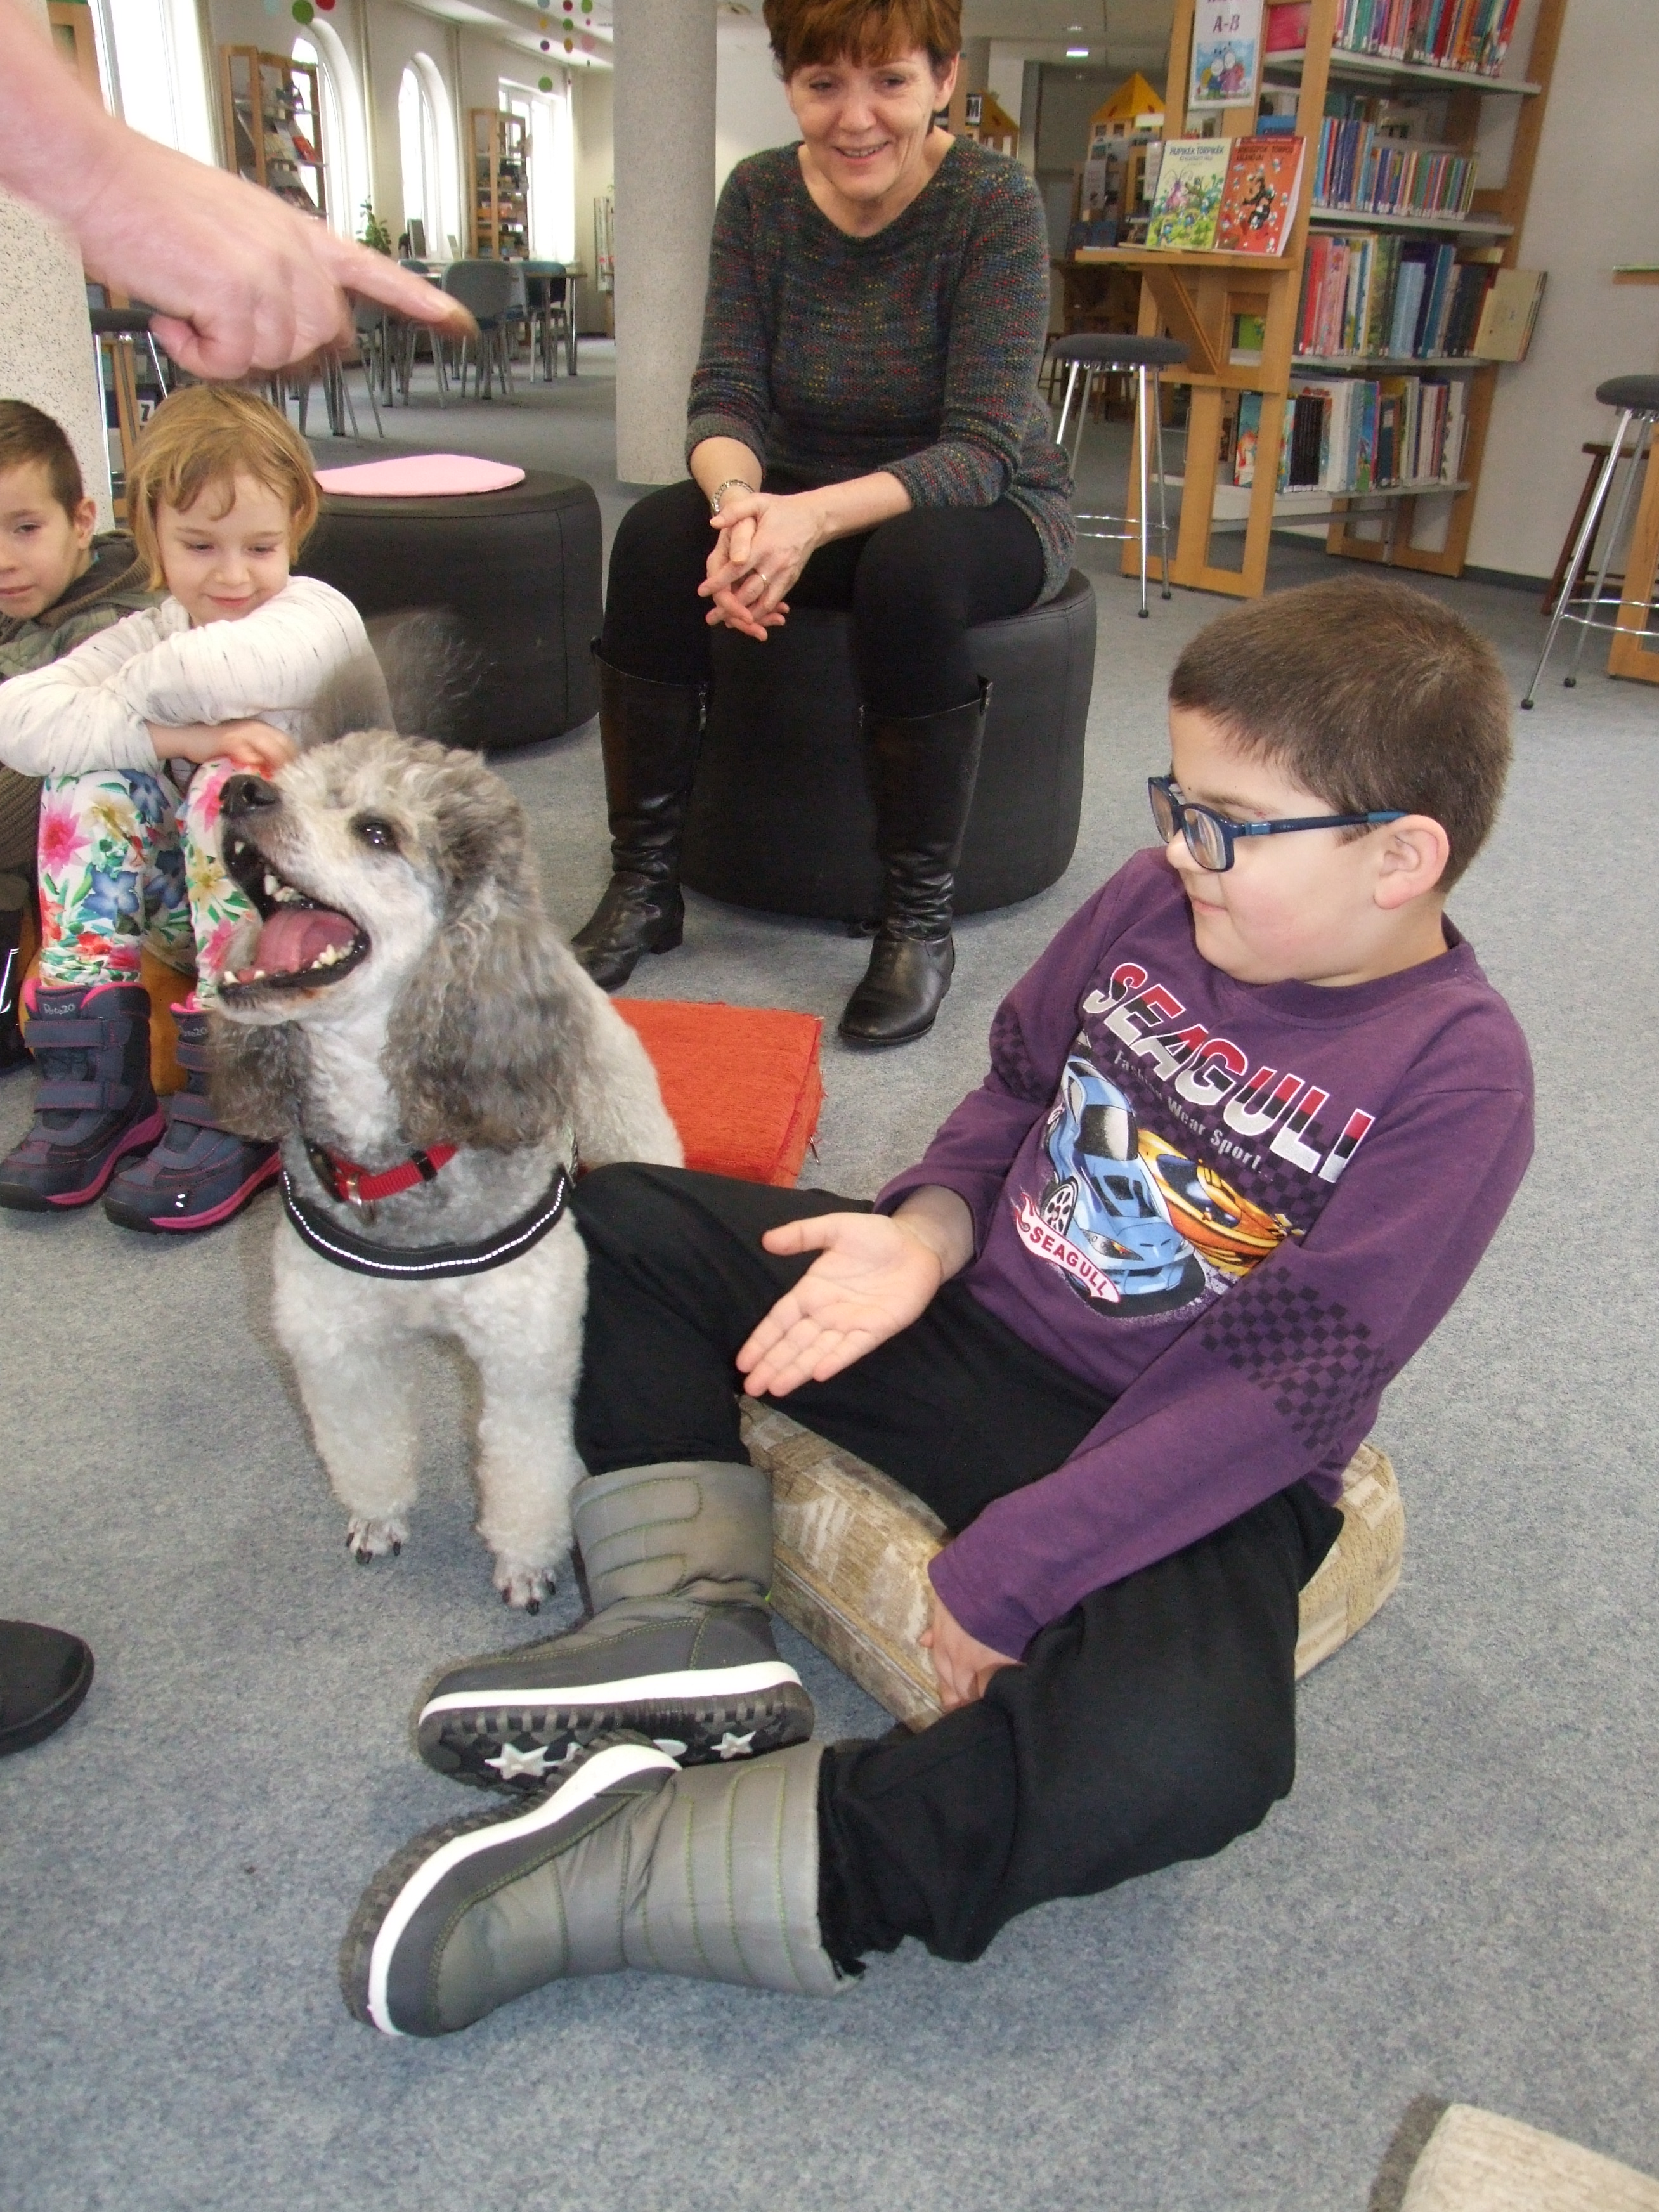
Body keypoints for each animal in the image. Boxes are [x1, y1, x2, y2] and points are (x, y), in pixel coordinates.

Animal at [209, 729, 682, 1608]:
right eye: (288, 781)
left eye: (377, 832)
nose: (241, 792)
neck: (408, 1156)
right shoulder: (335, 1339)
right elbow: (364, 1444)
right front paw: (378, 1517)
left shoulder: (526, 1352)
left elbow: (527, 1468)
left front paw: (527, 1562)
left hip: (625, 1109)